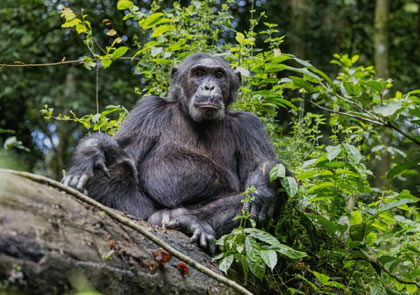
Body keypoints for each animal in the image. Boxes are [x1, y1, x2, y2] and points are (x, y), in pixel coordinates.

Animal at [62, 53, 288, 254]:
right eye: (199, 73)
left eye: (218, 75)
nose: (208, 86)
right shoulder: (148, 110)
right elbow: (123, 148)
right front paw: (89, 153)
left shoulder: (250, 125)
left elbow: (263, 163)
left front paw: (263, 188)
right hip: (142, 211)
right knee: (117, 168)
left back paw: (191, 221)